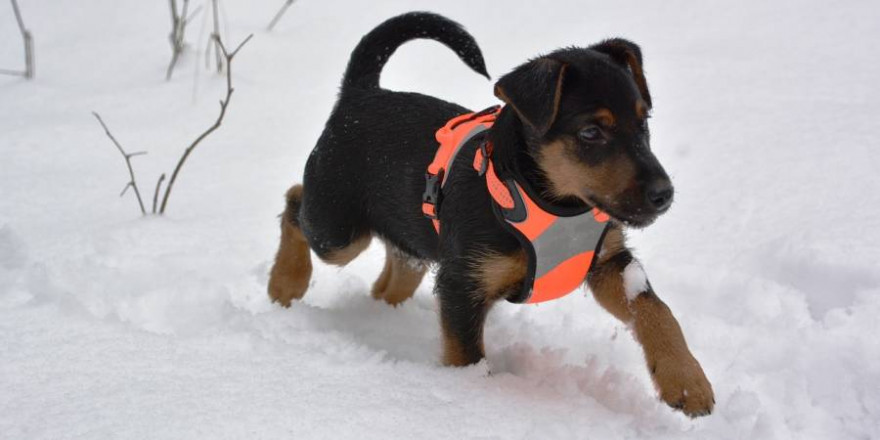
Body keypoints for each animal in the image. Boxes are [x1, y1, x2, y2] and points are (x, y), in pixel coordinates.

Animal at [268, 11, 716, 416]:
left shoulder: (608, 263)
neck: (551, 202)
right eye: (591, 132)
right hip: (337, 230)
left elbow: (657, 310)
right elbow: (466, 356)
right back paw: (286, 284)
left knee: (394, 271)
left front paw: (687, 382)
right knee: (294, 201)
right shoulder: (462, 284)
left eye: (645, 122)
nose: (663, 194)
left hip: (405, 237)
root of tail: (359, 94)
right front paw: (475, 401)